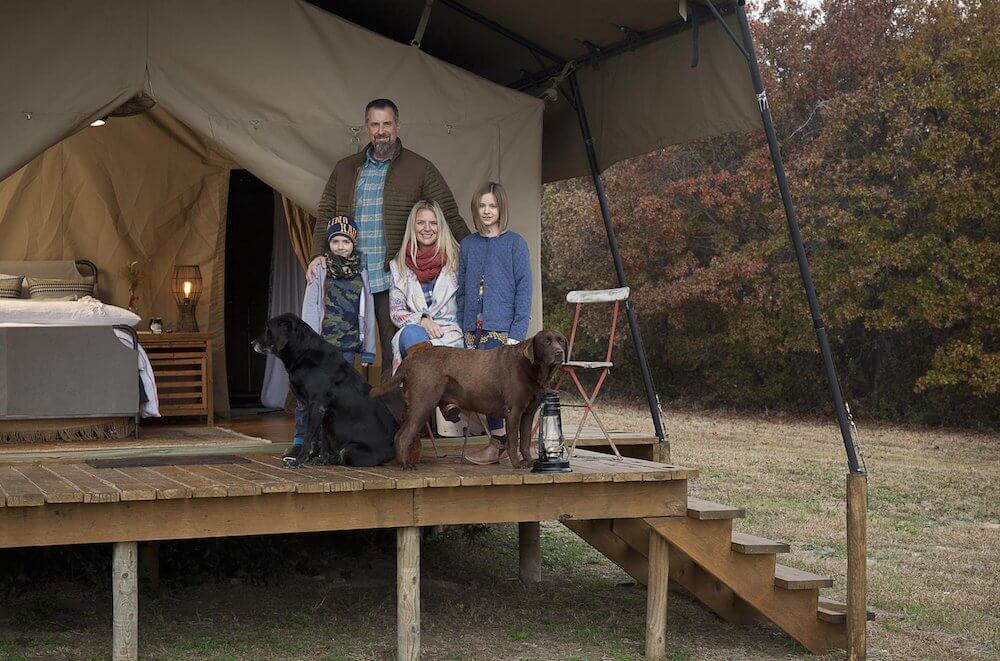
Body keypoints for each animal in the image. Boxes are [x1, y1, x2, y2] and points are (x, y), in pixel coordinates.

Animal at [252, 312, 396, 466]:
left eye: (268, 329)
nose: (252, 343)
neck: (304, 352)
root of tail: (393, 452)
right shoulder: (321, 412)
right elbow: (320, 438)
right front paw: (318, 459)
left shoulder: (316, 406)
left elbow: (308, 438)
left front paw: (299, 461)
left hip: (349, 451)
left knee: (343, 456)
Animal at [370, 330, 572, 470]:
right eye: (546, 341)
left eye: (561, 340)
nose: (559, 352)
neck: (532, 369)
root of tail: (411, 358)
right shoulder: (513, 411)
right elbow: (514, 440)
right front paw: (517, 464)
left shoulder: (528, 413)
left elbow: (525, 441)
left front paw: (529, 462)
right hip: (423, 404)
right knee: (404, 435)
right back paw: (406, 465)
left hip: (414, 407)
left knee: (399, 435)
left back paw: (401, 462)